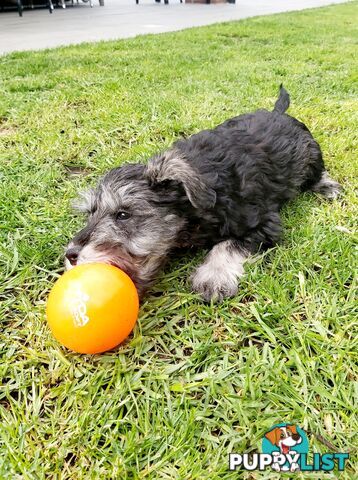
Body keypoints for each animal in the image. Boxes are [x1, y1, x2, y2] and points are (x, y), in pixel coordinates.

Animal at [65, 87, 342, 300]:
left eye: (123, 214)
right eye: (90, 213)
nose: (70, 255)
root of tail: (278, 113)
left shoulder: (263, 223)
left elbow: (228, 245)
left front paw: (213, 277)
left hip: (313, 154)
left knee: (317, 174)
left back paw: (327, 186)